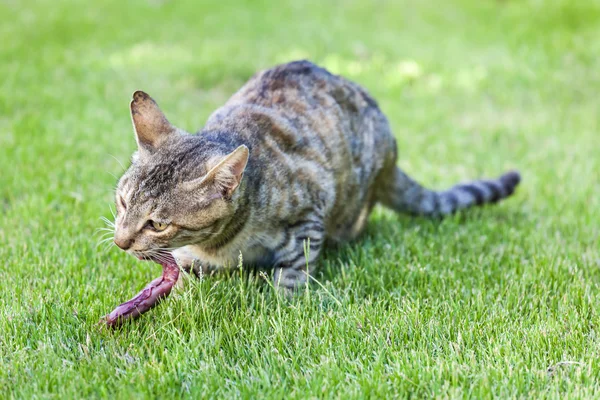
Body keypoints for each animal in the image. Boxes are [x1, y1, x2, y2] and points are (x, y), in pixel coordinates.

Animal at [112, 60, 520, 290]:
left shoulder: (308, 213)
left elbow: (292, 274)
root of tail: (391, 151)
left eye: (157, 224)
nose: (119, 241)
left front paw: (279, 307)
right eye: (122, 202)